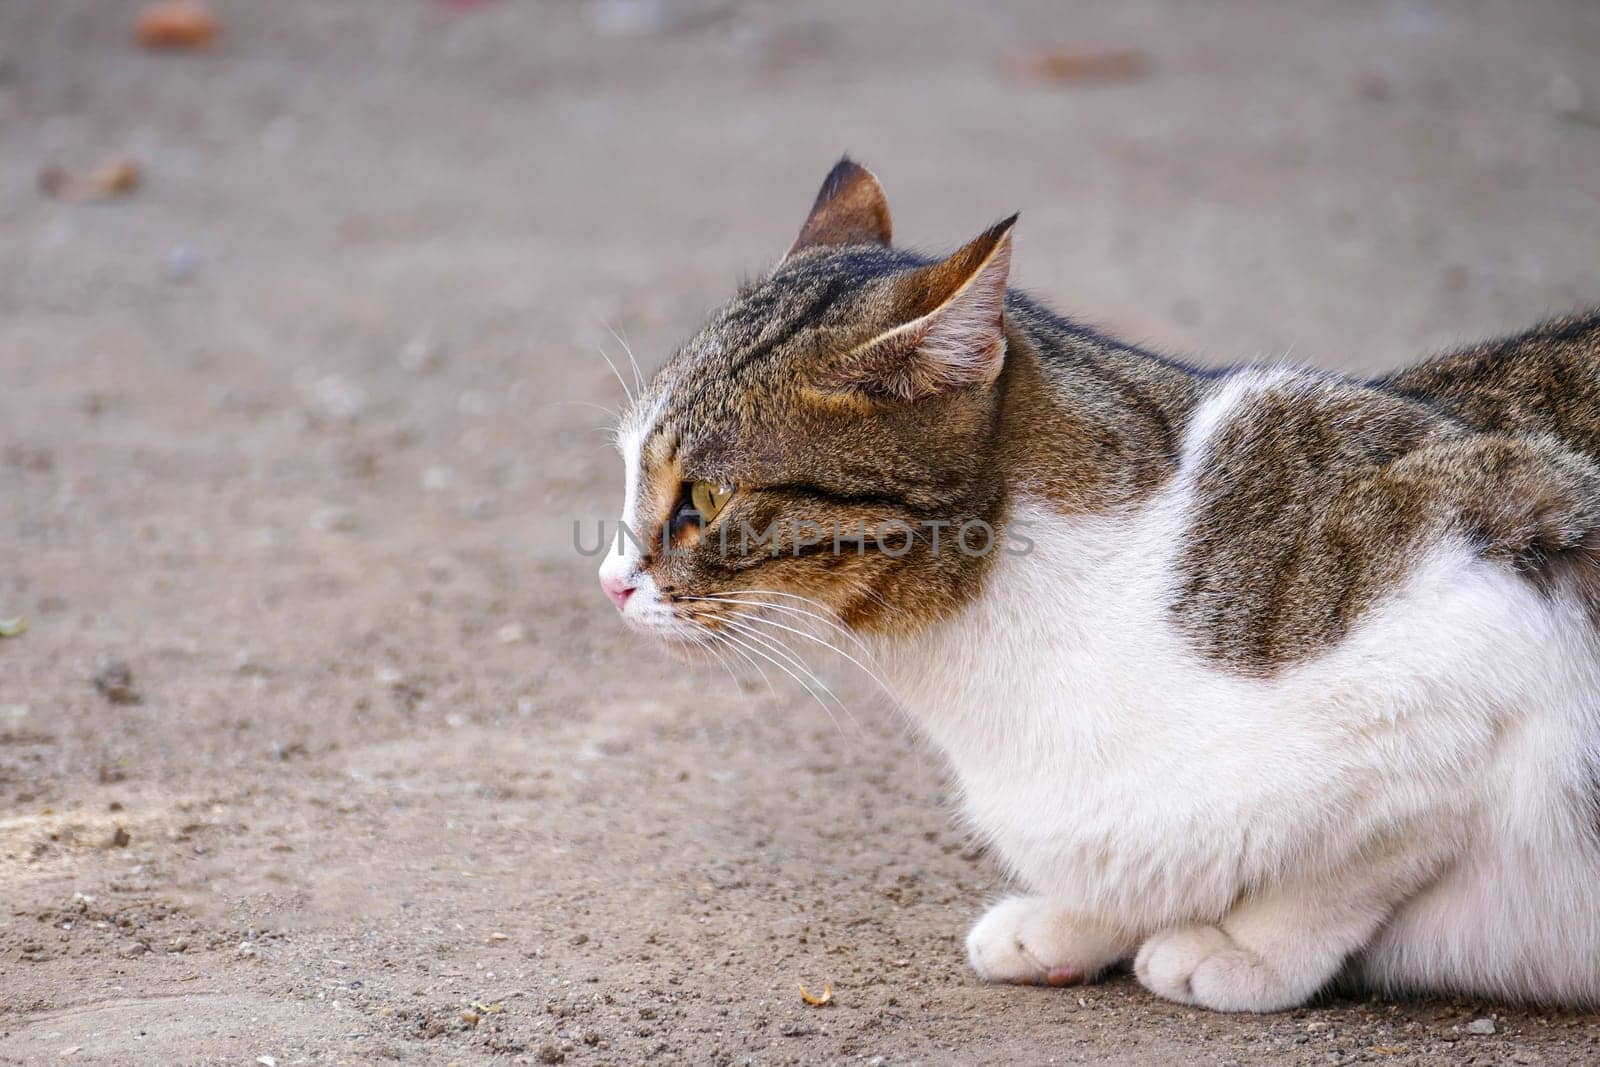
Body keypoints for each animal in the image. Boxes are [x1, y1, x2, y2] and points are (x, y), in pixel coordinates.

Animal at [598, 156, 1600, 1011]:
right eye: (628, 470)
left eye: (704, 497)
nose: (610, 582)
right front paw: (1078, 917)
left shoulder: (1493, 603)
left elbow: (1352, 861)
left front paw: (1244, 945)